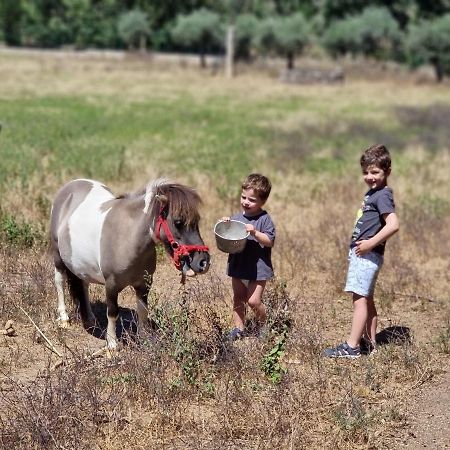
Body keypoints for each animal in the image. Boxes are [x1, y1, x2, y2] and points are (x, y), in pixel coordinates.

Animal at [50, 178, 210, 350]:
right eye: (178, 222)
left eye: (197, 221)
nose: (203, 262)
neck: (128, 236)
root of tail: (71, 185)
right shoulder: (111, 285)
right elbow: (112, 313)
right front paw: (112, 345)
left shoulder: (144, 284)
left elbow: (143, 311)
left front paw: (144, 339)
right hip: (58, 257)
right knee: (59, 281)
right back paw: (64, 318)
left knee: (84, 285)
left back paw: (91, 319)